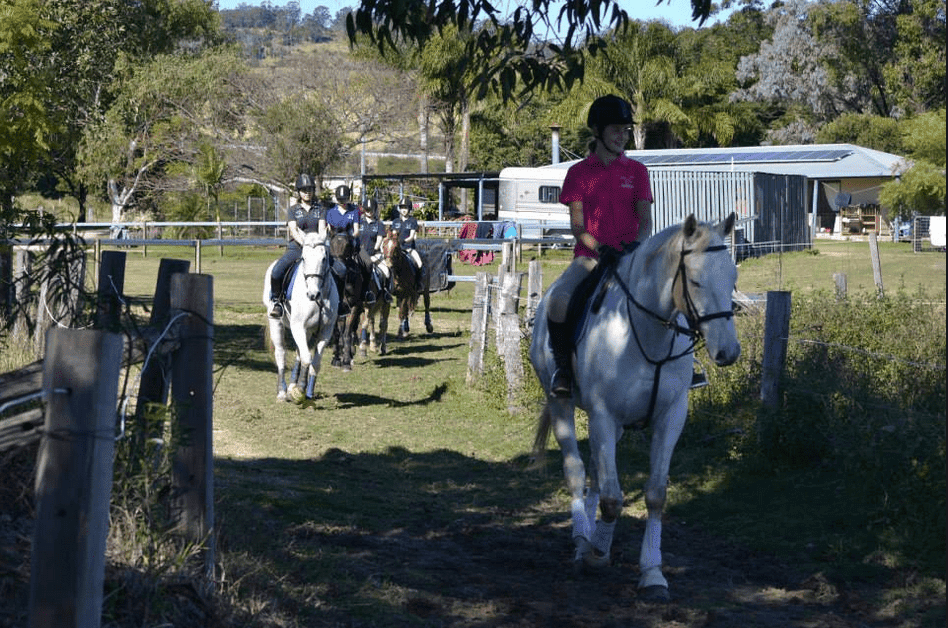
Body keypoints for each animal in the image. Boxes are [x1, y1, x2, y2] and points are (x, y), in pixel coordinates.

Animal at [262, 232, 340, 402]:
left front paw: (307, 392)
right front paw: (300, 390)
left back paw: (292, 385)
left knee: (298, 353)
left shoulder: (325, 331)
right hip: (276, 322)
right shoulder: (298, 326)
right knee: (281, 353)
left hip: (307, 331)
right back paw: (282, 391)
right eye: (303, 258)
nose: (312, 294)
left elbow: (315, 362)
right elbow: (306, 358)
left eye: (324, 258)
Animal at [532, 215, 740, 604]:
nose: (728, 352)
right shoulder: (602, 414)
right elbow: (613, 498)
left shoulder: (671, 417)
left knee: (596, 472)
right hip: (562, 404)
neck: (645, 332)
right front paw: (597, 554)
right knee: (577, 470)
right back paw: (582, 539)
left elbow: (655, 495)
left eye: (733, 277)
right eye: (695, 280)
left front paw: (653, 574)